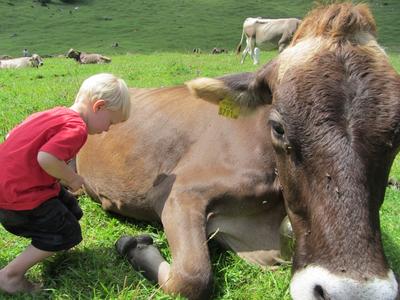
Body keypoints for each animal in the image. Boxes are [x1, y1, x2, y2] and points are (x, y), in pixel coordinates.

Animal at [76, 2, 398, 300]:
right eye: (278, 127)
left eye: (397, 134)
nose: (353, 293)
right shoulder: (179, 192)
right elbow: (192, 277)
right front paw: (135, 246)